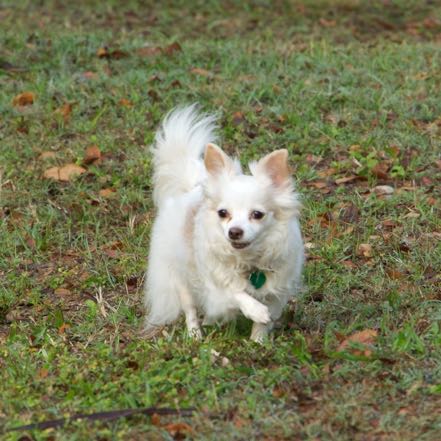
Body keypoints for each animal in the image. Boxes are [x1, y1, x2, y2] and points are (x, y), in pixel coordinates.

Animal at [144, 105, 302, 342]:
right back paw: (195, 335)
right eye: (223, 213)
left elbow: (265, 319)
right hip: (180, 277)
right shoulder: (215, 287)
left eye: (257, 214)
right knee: (190, 308)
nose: (234, 232)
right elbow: (234, 292)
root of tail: (193, 187)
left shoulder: (277, 291)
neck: (248, 260)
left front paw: (258, 341)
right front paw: (256, 310)